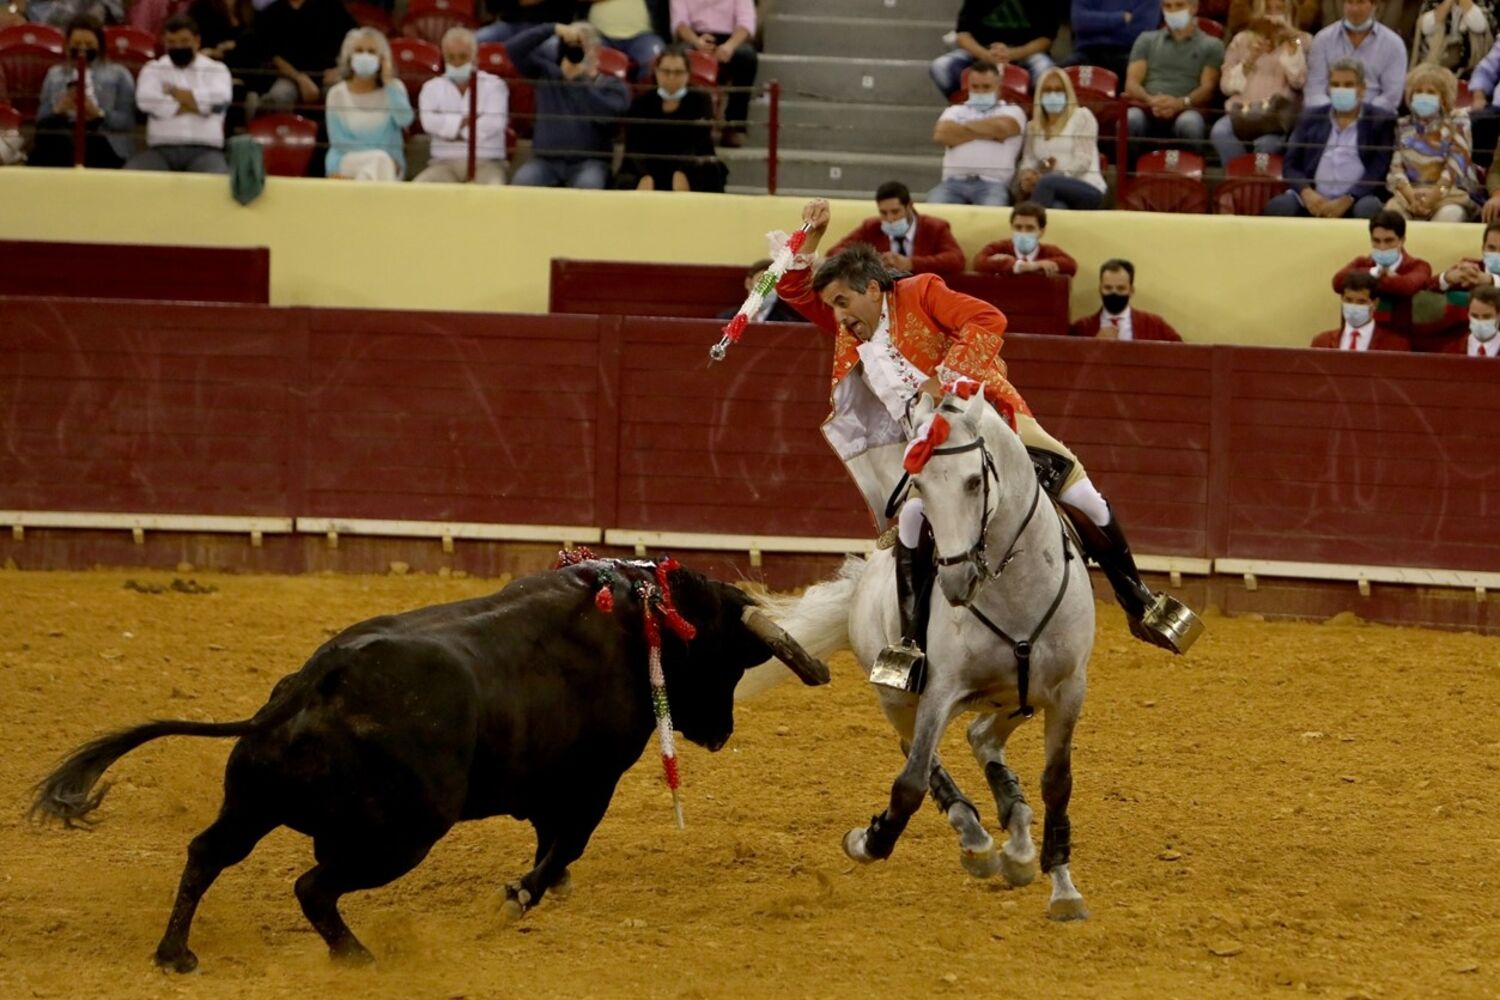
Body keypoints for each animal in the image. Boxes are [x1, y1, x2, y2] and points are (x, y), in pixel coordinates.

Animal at [30, 559, 829, 973]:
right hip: (403, 834)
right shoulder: (589, 783)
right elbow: (562, 845)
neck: (642, 623)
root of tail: (315, 683)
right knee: (313, 885)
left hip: (253, 803)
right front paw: (519, 896)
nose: (720, 733)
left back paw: (175, 953)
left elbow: (553, 845)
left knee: (206, 855)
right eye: (730, 659)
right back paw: (358, 957)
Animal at [742, 388, 1095, 920]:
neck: (1015, 587)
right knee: (918, 752)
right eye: (921, 489)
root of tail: (861, 587)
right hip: (900, 695)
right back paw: (978, 840)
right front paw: (870, 840)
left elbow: (1058, 782)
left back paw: (1015, 839)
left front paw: (1064, 888)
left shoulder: (1068, 689)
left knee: (980, 735)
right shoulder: (941, 689)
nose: (955, 581)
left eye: (974, 481)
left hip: (1018, 696)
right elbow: (908, 783)